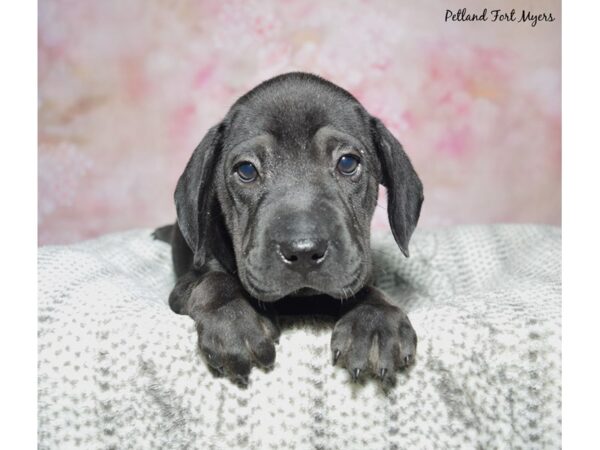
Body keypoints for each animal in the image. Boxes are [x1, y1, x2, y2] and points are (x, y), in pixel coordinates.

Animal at [158, 72, 422, 384]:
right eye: (246, 170)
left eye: (348, 162)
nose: (304, 251)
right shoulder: (185, 284)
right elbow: (213, 281)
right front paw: (233, 318)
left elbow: (361, 288)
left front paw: (375, 319)